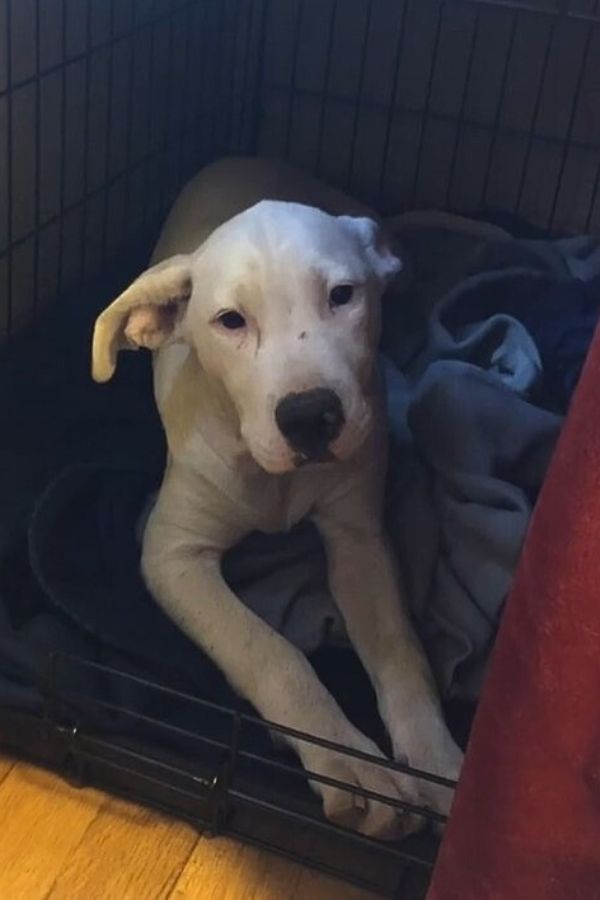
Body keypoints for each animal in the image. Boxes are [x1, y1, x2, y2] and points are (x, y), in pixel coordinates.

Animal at [91, 158, 462, 840]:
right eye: (230, 321)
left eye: (343, 295)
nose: (311, 416)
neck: (272, 479)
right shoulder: (172, 555)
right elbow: (267, 650)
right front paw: (351, 766)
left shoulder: (358, 536)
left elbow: (399, 648)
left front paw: (435, 760)